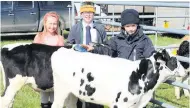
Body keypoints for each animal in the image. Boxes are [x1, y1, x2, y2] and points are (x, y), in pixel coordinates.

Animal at [50, 48, 186, 108]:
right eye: (174, 60)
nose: (185, 71)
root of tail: (62, 50)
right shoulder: (120, 104)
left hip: (72, 93)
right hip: (60, 92)